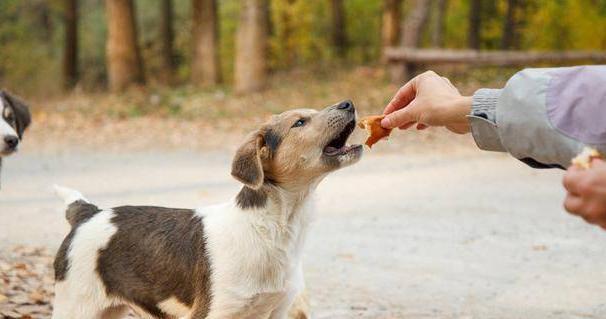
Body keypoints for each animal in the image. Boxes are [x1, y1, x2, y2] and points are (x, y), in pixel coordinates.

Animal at [52, 101, 364, 318]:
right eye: (300, 122)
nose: (348, 103)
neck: (271, 228)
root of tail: (88, 213)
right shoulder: (213, 311)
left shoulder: (277, 310)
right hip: (75, 308)